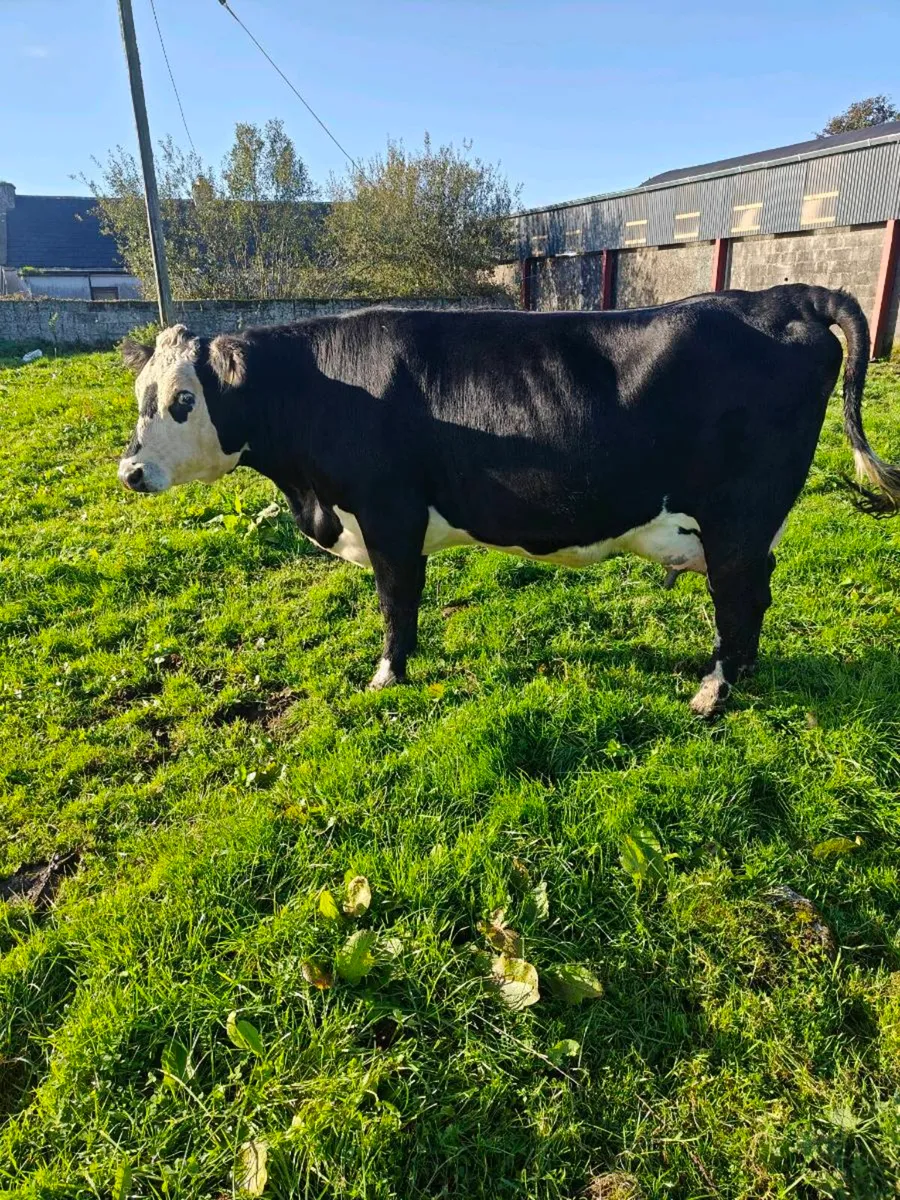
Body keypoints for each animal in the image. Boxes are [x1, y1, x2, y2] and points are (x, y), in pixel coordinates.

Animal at [117, 285, 900, 717]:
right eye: (139, 395)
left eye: (182, 400)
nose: (129, 471)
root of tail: (777, 297)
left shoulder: (390, 514)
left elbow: (395, 603)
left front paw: (386, 679)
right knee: (756, 592)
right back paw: (740, 675)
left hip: (740, 514)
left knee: (740, 593)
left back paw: (715, 690)